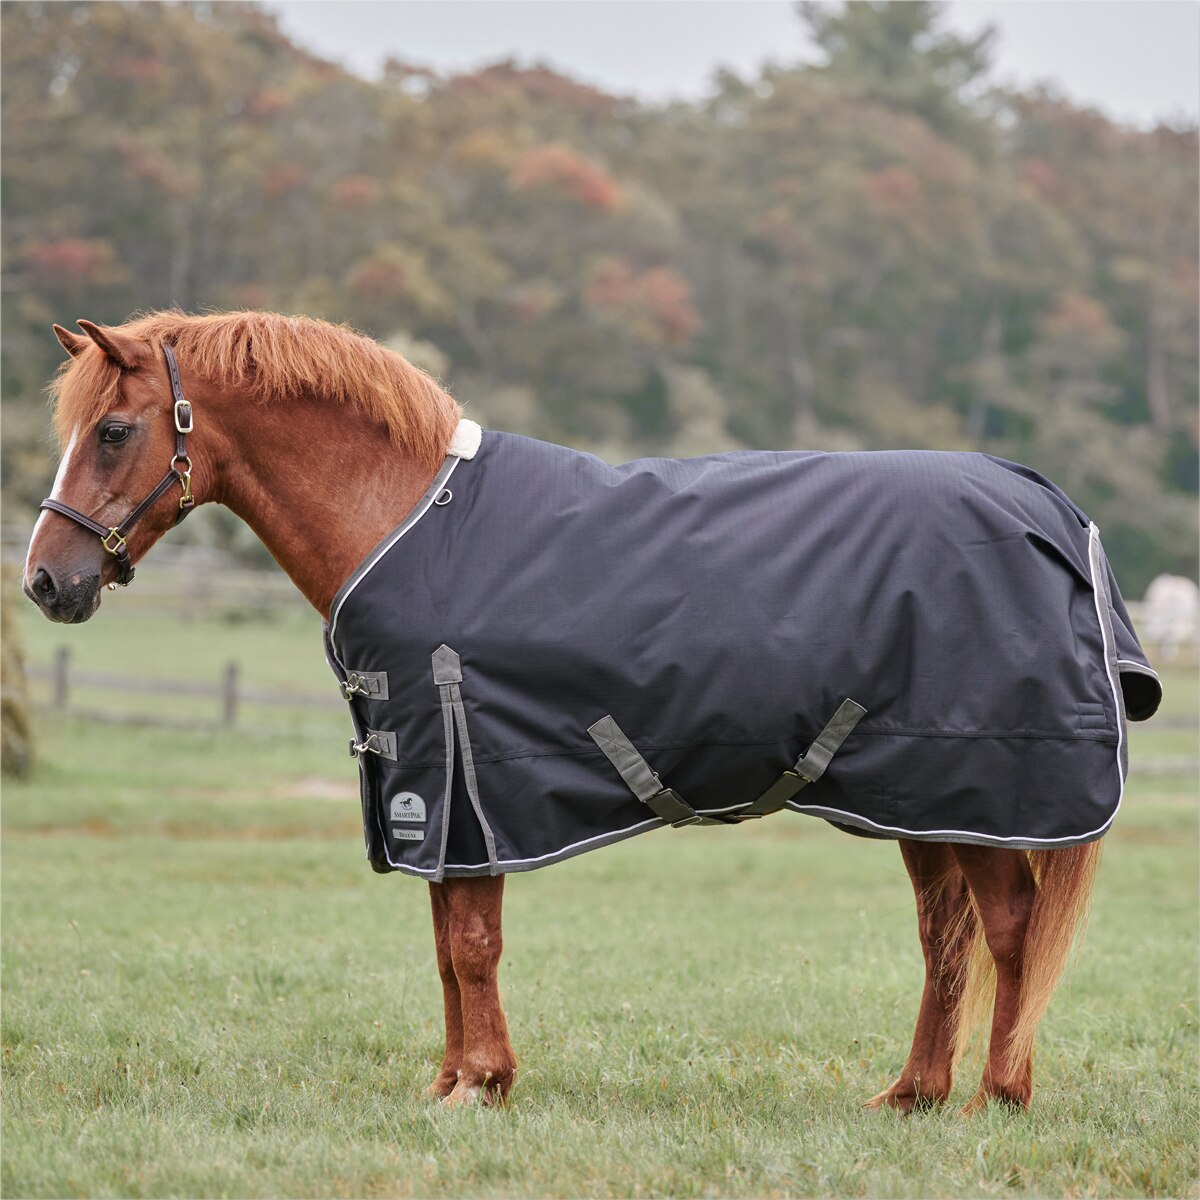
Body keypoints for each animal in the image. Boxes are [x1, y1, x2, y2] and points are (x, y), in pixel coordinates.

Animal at [23, 310, 1160, 1112]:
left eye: (114, 431)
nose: (45, 581)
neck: (407, 517)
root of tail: (1046, 504)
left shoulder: (463, 778)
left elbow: (470, 942)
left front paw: (480, 1084)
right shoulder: (437, 794)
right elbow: (446, 942)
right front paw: (453, 1079)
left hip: (985, 789)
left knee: (1009, 932)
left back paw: (995, 1099)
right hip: (922, 797)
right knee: (946, 938)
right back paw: (913, 1095)